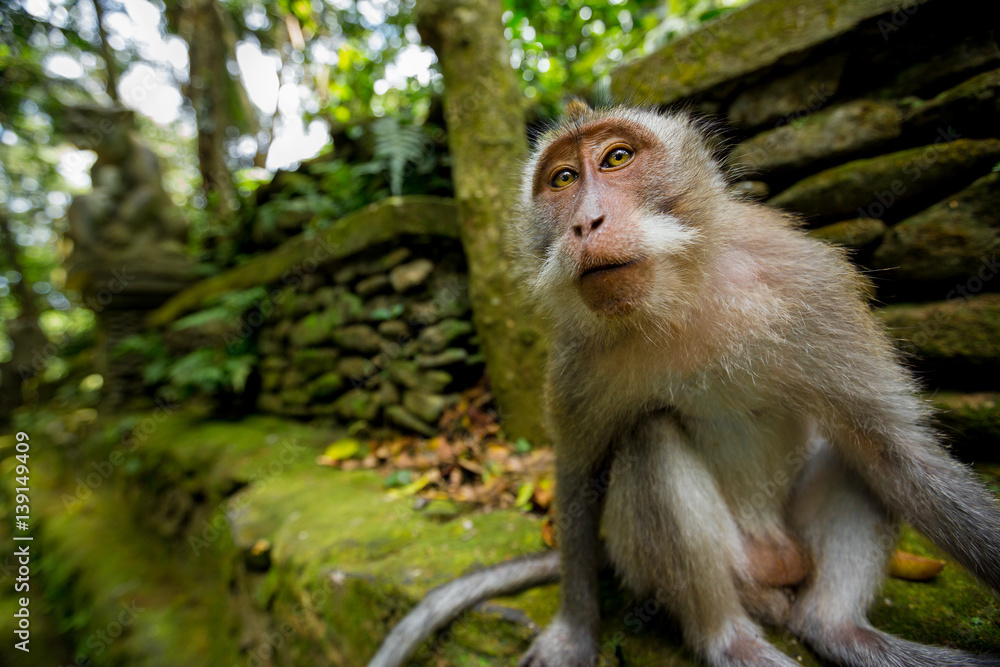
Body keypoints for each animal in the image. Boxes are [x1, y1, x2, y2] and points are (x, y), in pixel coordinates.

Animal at [369, 103, 1000, 667]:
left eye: (617, 158)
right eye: (564, 178)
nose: (585, 222)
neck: (678, 300)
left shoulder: (810, 287)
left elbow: (895, 455)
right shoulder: (577, 358)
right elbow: (579, 475)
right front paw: (575, 632)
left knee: (855, 451)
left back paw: (838, 629)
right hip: (716, 568)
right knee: (650, 440)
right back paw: (732, 642)